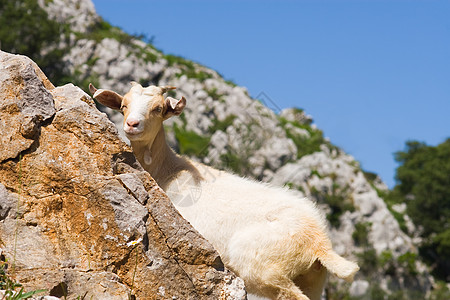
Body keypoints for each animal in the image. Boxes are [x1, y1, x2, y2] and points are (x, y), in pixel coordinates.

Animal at [89, 82, 360, 300]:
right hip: (312, 280)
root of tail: (319, 242)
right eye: (123, 105)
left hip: (262, 267)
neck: (167, 169)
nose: (132, 124)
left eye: (158, 108)